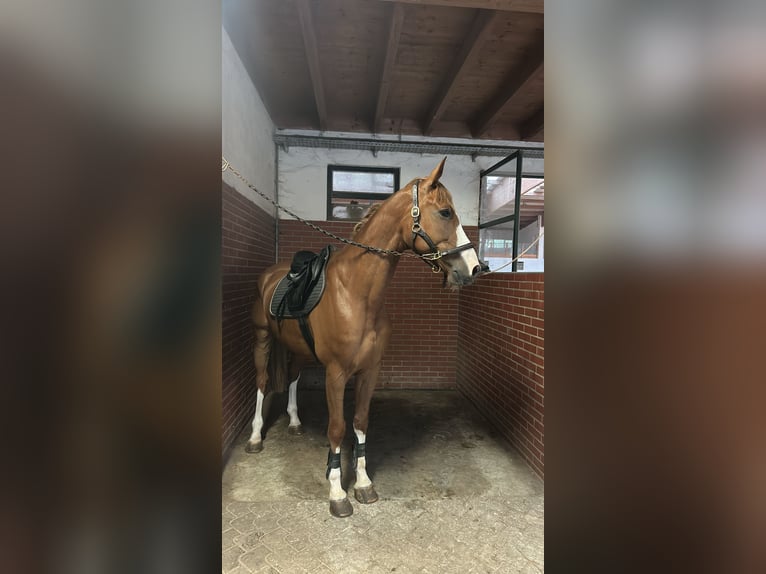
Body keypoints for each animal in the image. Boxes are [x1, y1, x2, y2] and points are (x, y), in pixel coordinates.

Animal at [248, 160, 486, 520]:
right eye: (445, 212)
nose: (474, 268)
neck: (355, 293)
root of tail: (271, 274)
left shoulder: (370, 371)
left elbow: (360, 423)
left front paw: (362, 484)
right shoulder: (335, 374)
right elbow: (336, 428)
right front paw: (337, 493)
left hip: (298, 349)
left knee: (291, 377)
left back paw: (294, 422)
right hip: (262, 338)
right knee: (263, 382)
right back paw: (255, 437)